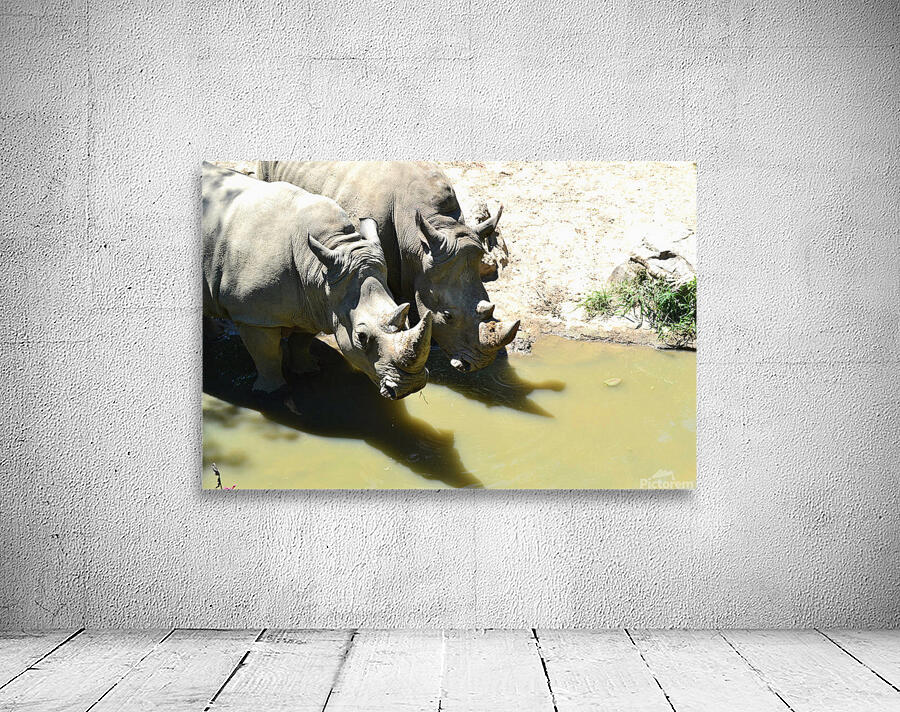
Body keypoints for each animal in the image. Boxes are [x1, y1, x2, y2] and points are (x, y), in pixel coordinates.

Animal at [202, 162, 432, 399]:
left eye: (406, 319)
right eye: (361, 336)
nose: (411, 386)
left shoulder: (315, 303)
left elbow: (301, 341)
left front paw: (308, 371)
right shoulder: (253, 315)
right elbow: (267, 356)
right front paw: (273, 393)